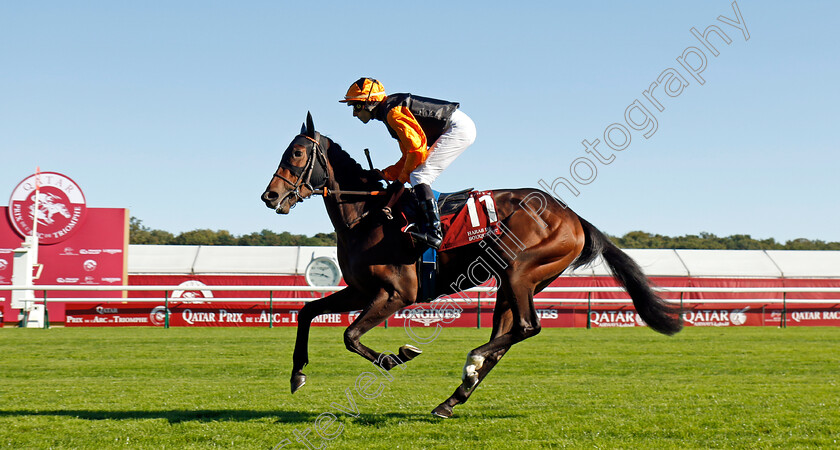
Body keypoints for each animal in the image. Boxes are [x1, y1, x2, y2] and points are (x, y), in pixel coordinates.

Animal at [260, 112, 684, 418]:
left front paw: (395, 356)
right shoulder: (361, 290)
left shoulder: (396, 294)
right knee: (507, 339)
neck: (366, 216)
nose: (270, 196)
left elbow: (350, 336)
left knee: (527, 327)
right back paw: (451, 399)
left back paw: (471, 361)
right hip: (513, 285)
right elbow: (307, 310)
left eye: (296, 154)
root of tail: (574, 217)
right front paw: (297, 374)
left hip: (518, 270)